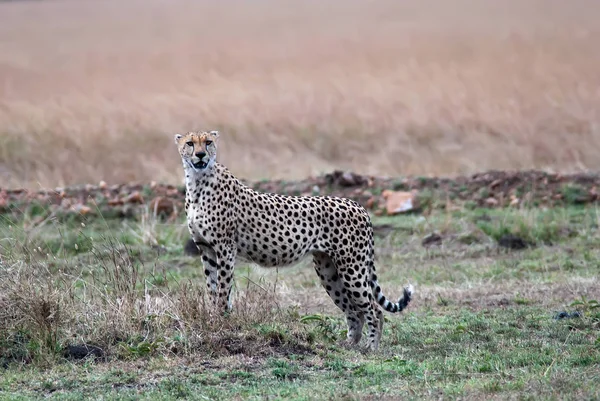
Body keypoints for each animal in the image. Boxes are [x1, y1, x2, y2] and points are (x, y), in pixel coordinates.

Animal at [175, 130, 412, 348]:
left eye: (208, 142)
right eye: (190, 143)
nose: (200, 155)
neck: (197, 182)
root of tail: (357, 205)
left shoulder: (225, 248)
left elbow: (223, 290)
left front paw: (221, 323)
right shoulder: (206, 248)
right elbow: (212, 287)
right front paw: (212, 319)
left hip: (352, 267)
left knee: (374, 309)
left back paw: (371, 348)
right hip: (328, 271)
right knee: (354, 310)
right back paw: (349, 346)